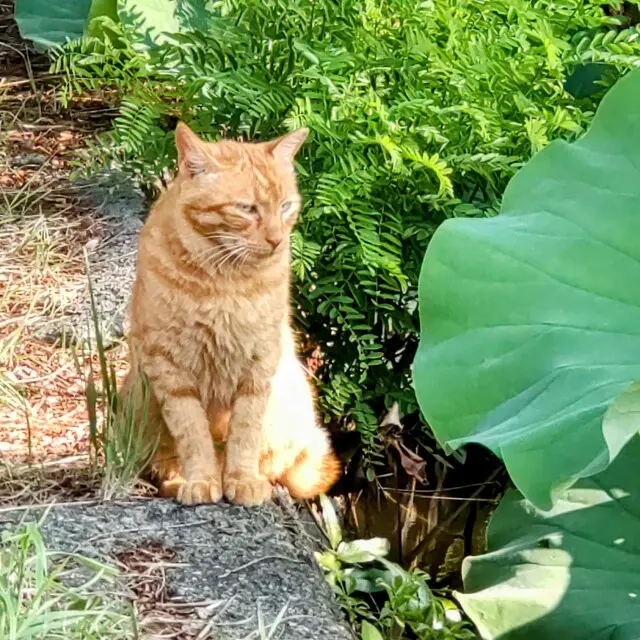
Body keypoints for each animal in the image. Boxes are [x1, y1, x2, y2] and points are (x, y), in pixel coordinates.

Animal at [120, 124, 340, 504]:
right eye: (247, 209)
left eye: (285, 206)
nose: (277, 240)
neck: (224, 282)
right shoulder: (168, 365)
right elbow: (192, 432)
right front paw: (201, 479)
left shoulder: (258, 364)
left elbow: (244, 433)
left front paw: (242, 480)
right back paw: (179, 480)